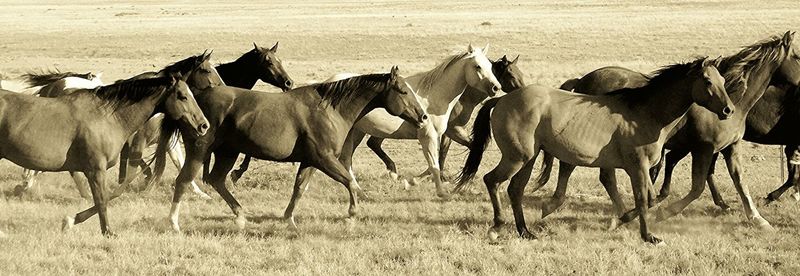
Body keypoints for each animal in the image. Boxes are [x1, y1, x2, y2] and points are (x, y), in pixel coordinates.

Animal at [0, 71, 209, 235]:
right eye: (182, 96)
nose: (204, 125)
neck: (107, 116)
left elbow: (111, 194)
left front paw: (71, 221)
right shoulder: (96, 169)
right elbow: (103, 199)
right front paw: (106, 231)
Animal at [167, 67, 432, 233]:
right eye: (403, 91)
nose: (423, 116)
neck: (330, 109)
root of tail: (194, 104)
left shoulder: (310, 162)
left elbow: (299, 189)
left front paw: (289, 220)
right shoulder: (324, 159)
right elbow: (349, 182)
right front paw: (351, 216)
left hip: (227, 153)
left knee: (217, 180)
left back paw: (241, 216)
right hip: (200, 150)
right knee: (183, 181)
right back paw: (174, 223)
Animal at [332, 44, 500, 197]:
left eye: (491, 66)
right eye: (478, 66)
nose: (496, 87)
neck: (432, 97)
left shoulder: (439, 135)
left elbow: (437, 162)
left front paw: (412, 182)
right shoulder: (428, 136)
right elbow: (434, 165)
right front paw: (440, 193)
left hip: (356, 132)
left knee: (347, 160)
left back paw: (360, 191)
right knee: (347, 159)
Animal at [362, 54, 524, 183]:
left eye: (520, 73)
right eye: (510, 74)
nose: (524, 93)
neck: (461, 97)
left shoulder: (448, 132)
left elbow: (443, 152)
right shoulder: (453, 130)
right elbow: (465, 147)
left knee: (373, 144)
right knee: (373, 143)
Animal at [456, 57, 732, 244]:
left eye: (723, 80)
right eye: (708, 81)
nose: (728, 110)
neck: (644, 113)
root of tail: (502, 99)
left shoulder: (642, 168)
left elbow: (651, 199)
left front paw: (620, 220)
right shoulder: (637, 166)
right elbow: (643, 200)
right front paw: (647, 235)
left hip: (528, 158)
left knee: (515, 190)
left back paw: (525, 231)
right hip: (517, 157)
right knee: (492, 180)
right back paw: (497, 226)